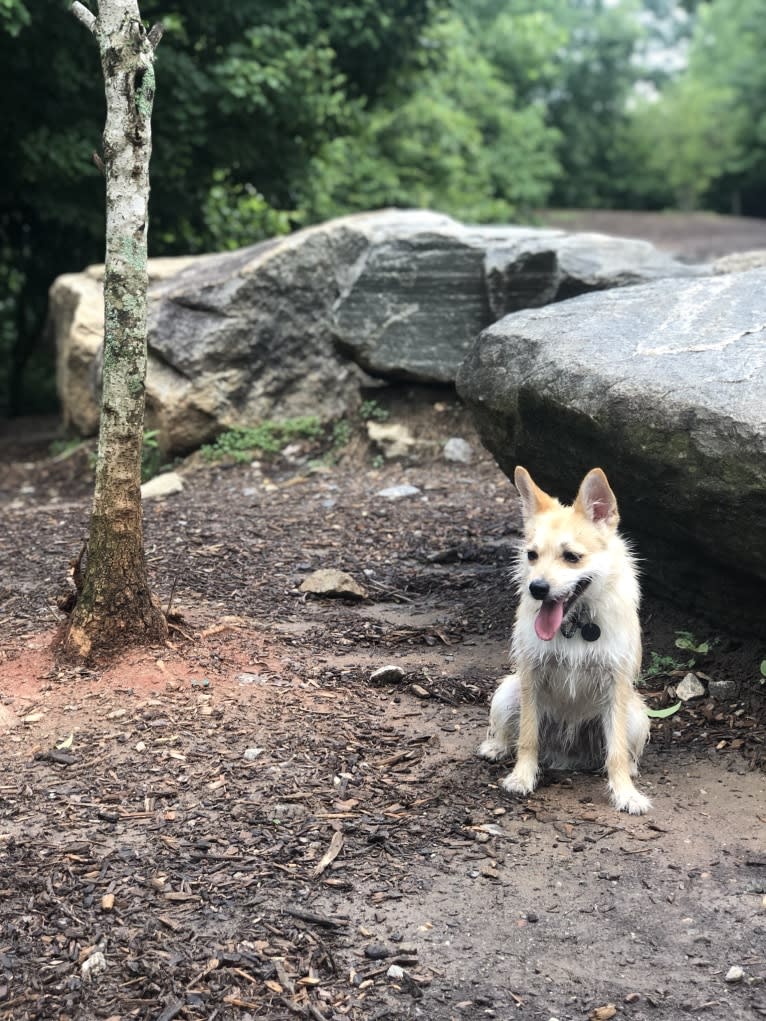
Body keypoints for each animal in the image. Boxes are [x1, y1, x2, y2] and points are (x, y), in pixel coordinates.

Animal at [482, 465, 649, 812]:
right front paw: (522, 777)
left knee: (623, 750)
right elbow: (528, 737)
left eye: (572, 557)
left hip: (636, 715)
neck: (576, 623)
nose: (537, 588)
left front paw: (625, 793)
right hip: (507, 692)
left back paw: (631, 768)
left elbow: (615, 752)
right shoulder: (531, 678)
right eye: (531, 555)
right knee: (509, 732)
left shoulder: (616, 684)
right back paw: (497, 746)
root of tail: (566, 756)